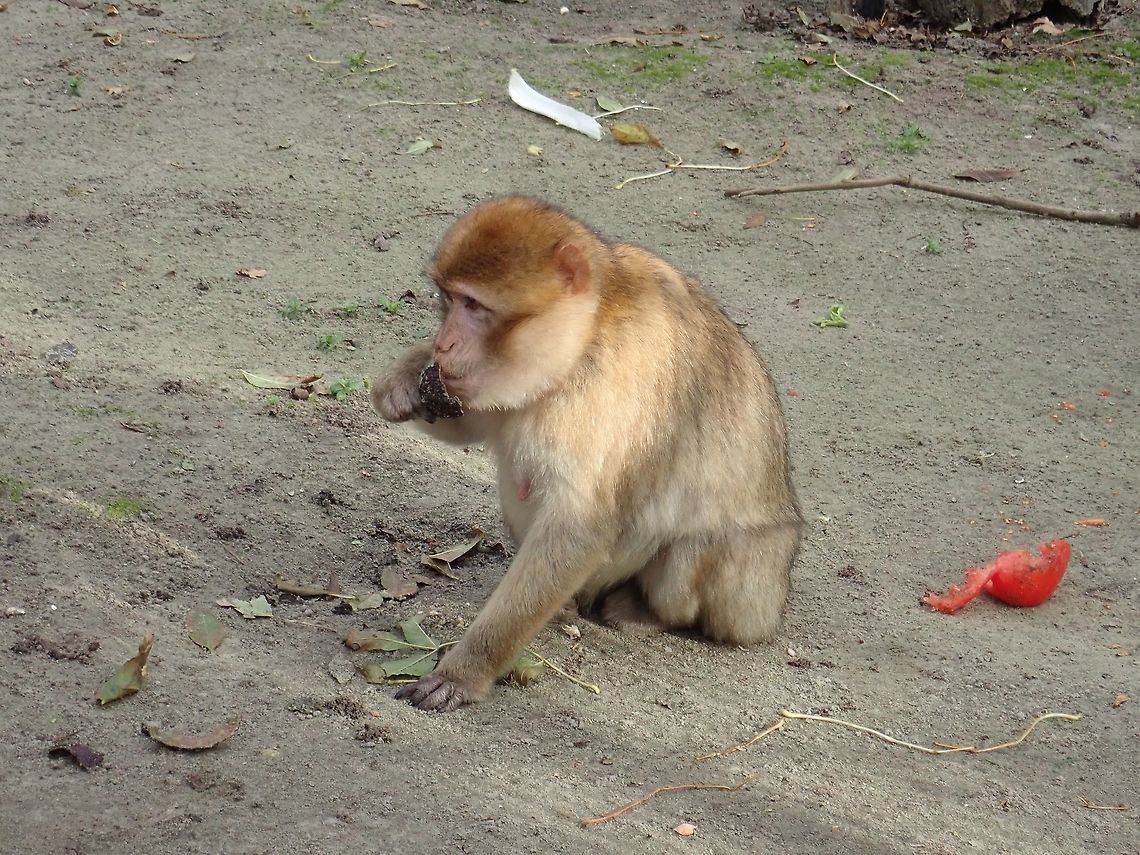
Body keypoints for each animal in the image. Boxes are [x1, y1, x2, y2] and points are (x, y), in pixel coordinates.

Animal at [371, 196, 801, 712]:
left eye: (475, 305)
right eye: (448, 298)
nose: (443, 343)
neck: (586, 335)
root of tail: (772, 609)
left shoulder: (612, 385)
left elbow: (579, 528)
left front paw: (465, 671)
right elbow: (481, 417)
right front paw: (404, 379)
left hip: (750, 588)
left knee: (697, 545)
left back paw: (645, 614)